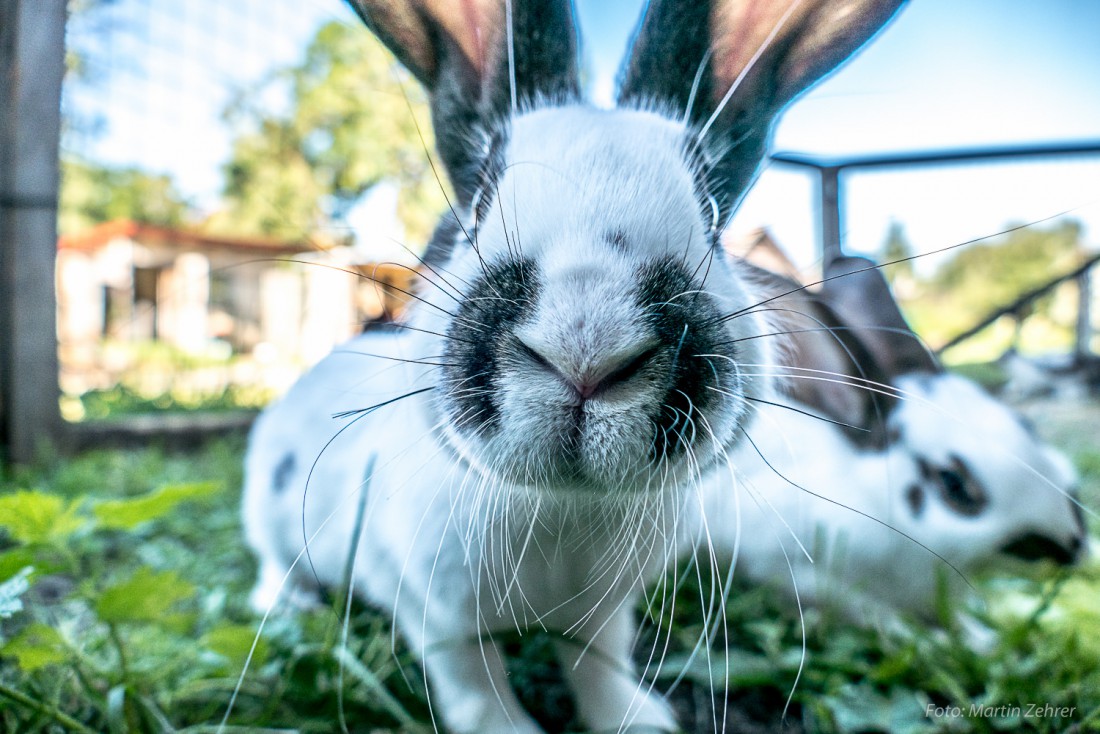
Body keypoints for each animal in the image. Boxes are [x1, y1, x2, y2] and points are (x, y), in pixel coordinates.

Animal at [240, 2, 902, 730]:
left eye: (710, 213)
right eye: (478, 201)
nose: (586, 351)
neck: (563, 508)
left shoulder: (603, 614)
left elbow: (597, 663)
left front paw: (639, 719)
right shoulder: (434, 611)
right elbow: (473, 681)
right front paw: (508, 728)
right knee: (272, 559)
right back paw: (286, 604)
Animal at [699, 254, 1086, 633]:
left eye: (1026, 423)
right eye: (954, 484)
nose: (1074, 545)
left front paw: (980, 637)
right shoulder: (790, 567)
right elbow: (875, 614)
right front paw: (928, 639)